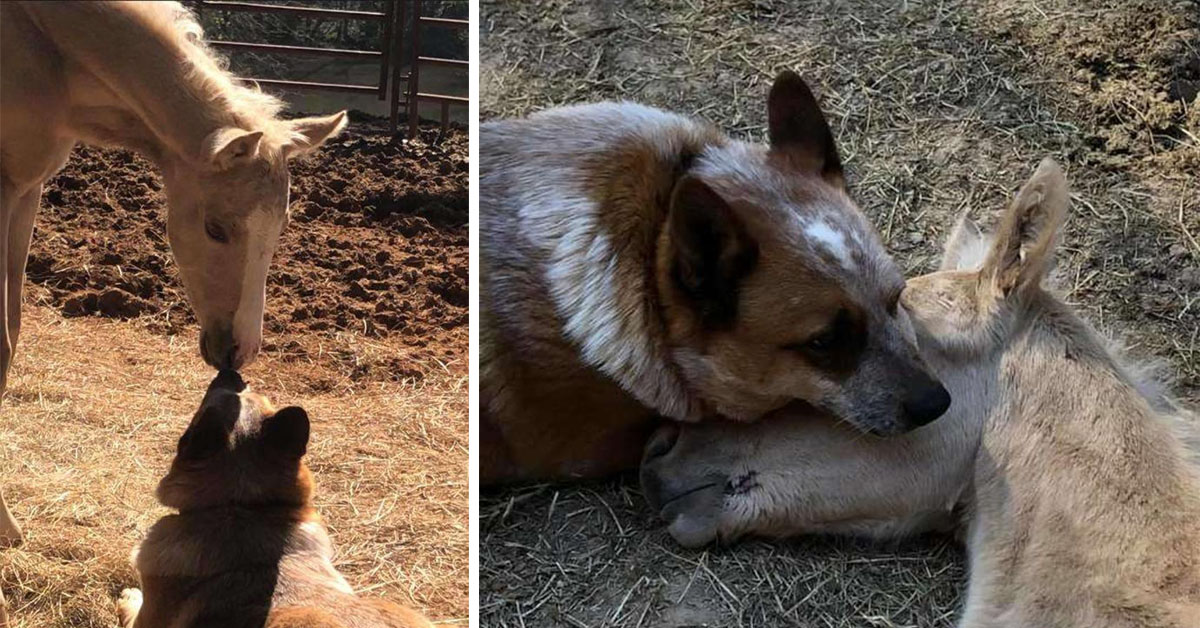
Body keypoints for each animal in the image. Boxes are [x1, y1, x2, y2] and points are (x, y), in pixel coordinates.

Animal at [0, 0, 345, 573]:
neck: (42, 41)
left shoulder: (25, 192)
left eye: (281, 227)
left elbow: (11, 338)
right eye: (215, 228)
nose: (240, 351)